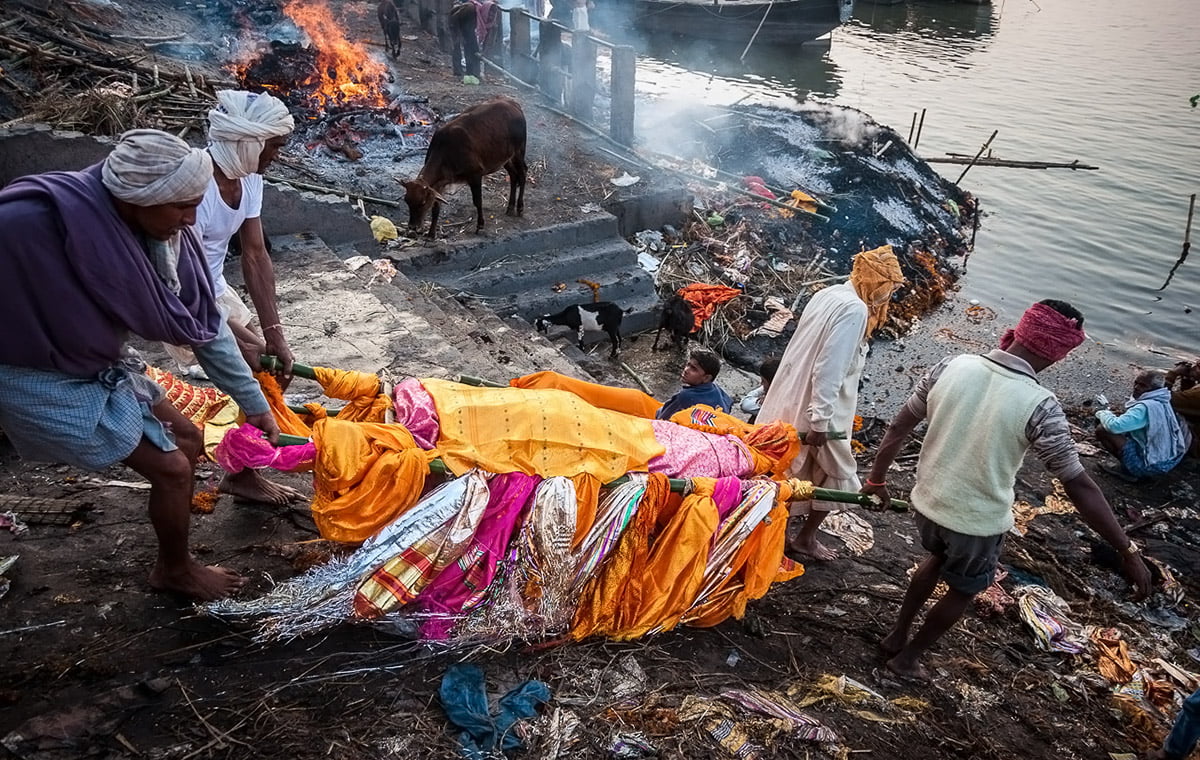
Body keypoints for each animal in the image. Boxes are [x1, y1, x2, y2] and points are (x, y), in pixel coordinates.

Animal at [400, 95, 528, 237]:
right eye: (406, 200)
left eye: (422, 203)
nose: (413, 227)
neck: (446, 151)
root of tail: (514, 105)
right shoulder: (439, 184)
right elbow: (436, 207)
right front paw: (431, 234)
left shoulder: (476, 174)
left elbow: (477, 201)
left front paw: (480, 225)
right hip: (505, 158)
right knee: (513, 176)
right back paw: (510, 207)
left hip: (519, 151)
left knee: (522, 174)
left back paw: (520, 207)